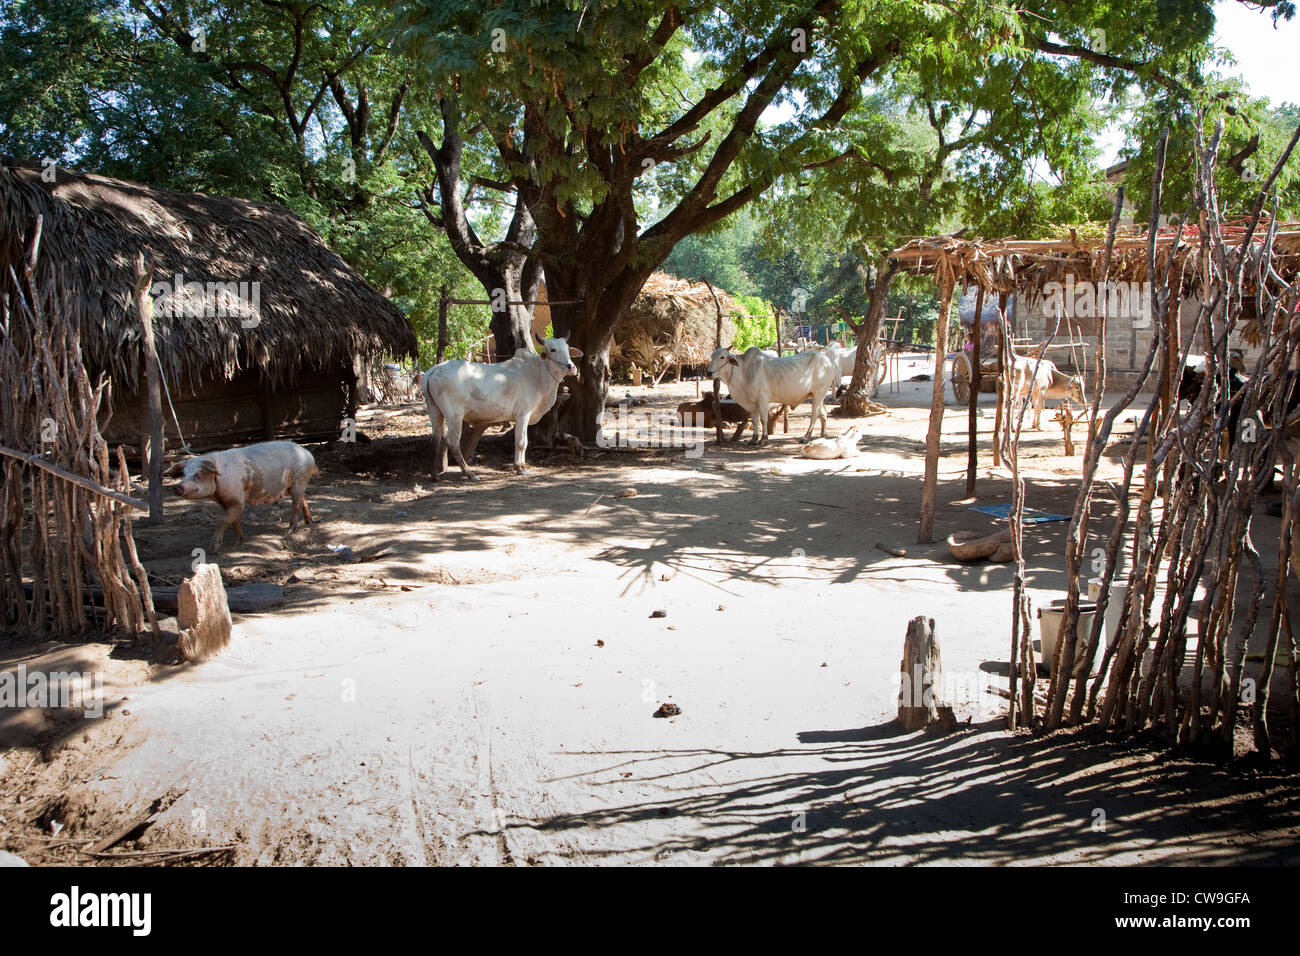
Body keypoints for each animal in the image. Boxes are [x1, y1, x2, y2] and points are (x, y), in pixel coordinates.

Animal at [172, 442, 319, 554]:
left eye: (199, 475)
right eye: (184, 474)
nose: (177, 486)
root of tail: (308, 453)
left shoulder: (237, 499)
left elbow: (224, 520)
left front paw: (214, 548)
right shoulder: (225, 502)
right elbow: (234, 521)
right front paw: (238, 542)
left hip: (300, 479)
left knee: (296, 505)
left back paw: (290, 531)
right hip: (293, 485)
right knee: (303, 499)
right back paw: (309, 522)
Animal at [423, 335, 582, 481]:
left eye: (567, 349)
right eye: (553, 350)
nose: (571, 367)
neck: (538, 374)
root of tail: (434, 370)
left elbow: (523, 441)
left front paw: (520, 466)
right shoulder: (523, 414)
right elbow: (521, 442)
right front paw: (520, 468)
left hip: (435, 412)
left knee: (435, 441)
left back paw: (435, 475)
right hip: (454, 416)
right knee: (452, 442)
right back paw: (469, 473)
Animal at [707, 348, 837, 444]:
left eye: (722, 357)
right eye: (712, 356)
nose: (709, 373)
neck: (743, 371)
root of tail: (830, 361)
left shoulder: (763, 398)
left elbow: (763, 419)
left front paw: (764, 439)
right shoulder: (751, 403)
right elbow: (755, 420)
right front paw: (754, 438)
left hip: (819, 393)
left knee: (814, 415)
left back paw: (806, 437)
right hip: (818, 394)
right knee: (823, 414)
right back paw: (823, 435)